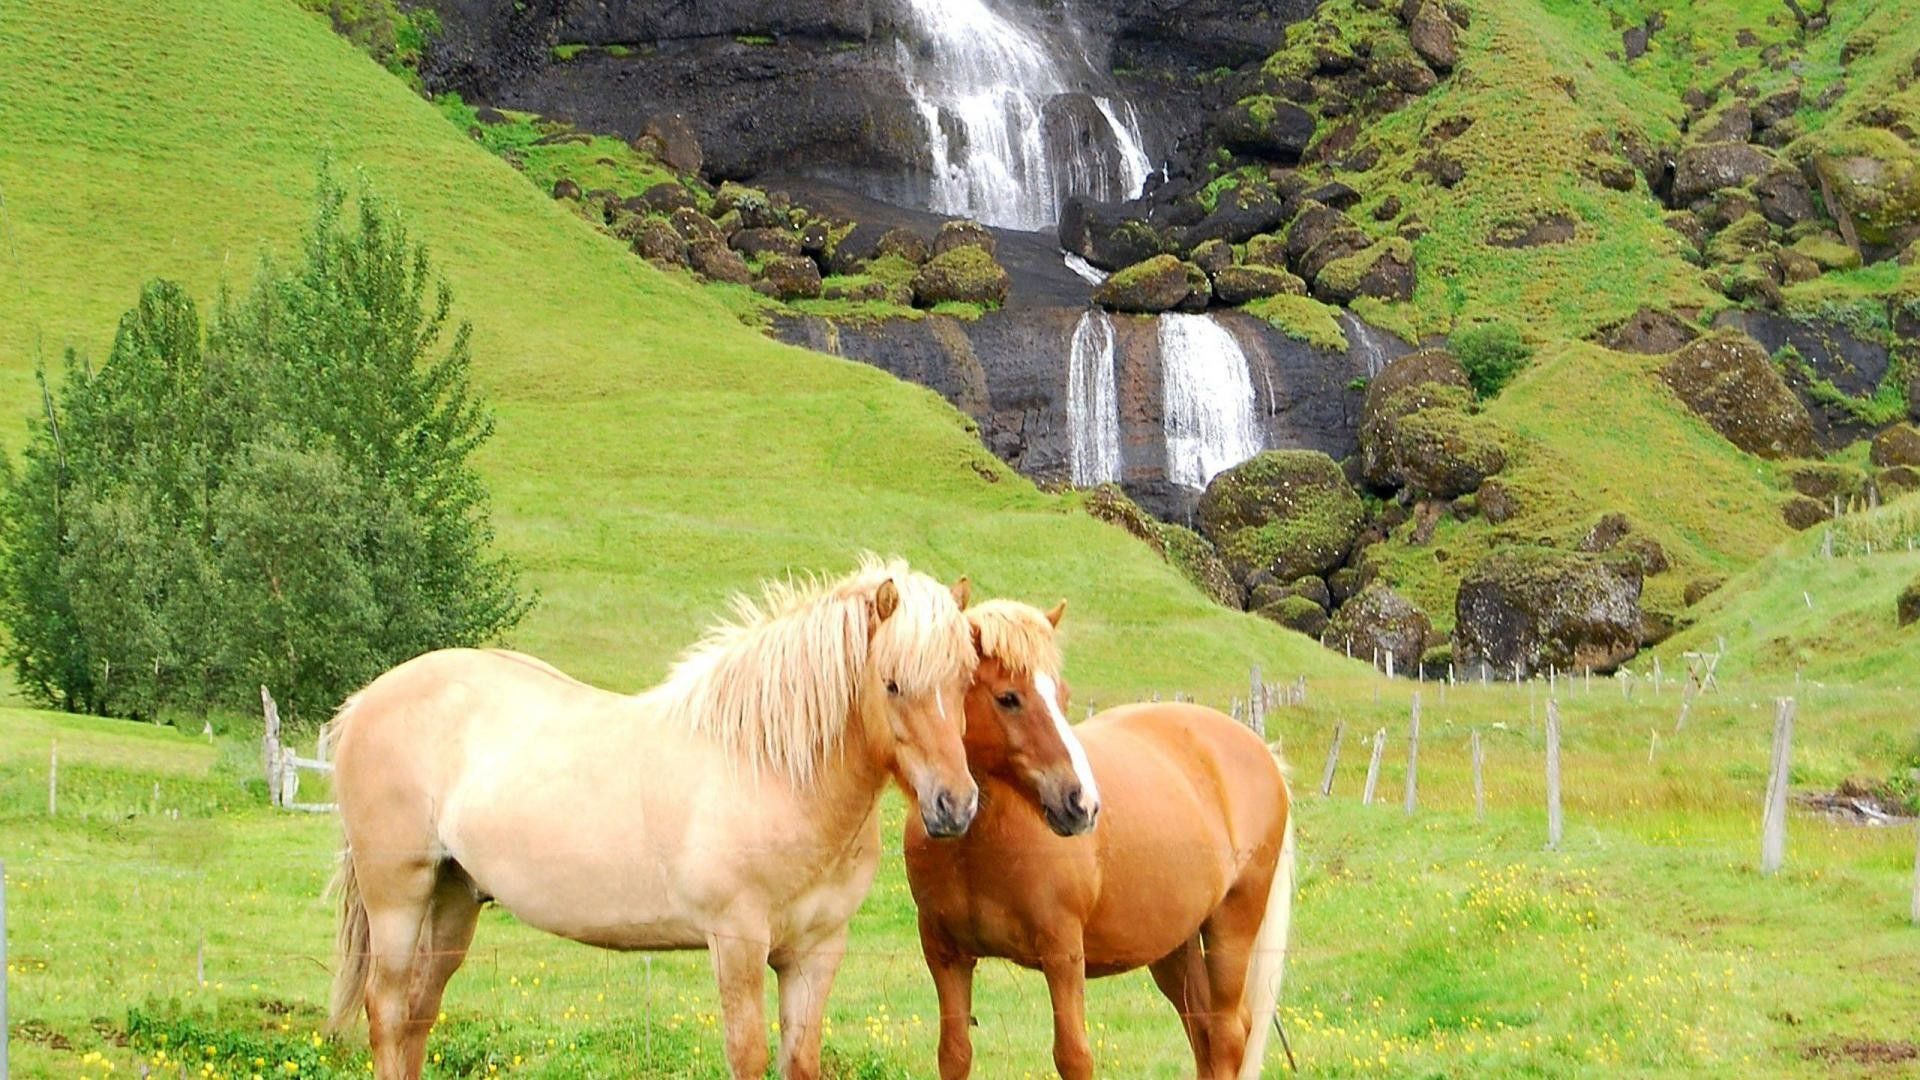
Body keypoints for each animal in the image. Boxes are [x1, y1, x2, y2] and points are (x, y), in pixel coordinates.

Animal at [326, 557, 981, 1080]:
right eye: (892, 684)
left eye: (965, 681)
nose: (955, 805)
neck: (769, 770)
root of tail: (365, 700)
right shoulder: (737, 943)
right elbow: (747, 1057)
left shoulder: (817, 953)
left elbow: (801, 1062)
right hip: (398, 896)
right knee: (388, 1013)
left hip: (454, 897)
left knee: (418, 1015)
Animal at [905, 599, 1296, 1080]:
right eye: (1008, 697)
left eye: (1063, 695)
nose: (1081, 803)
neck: (977, 847)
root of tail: (1262, 752)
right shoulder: (946, 956)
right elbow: (954, 1054)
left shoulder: (1062, 957)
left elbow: (1073, 1056)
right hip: (1175, 944)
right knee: (1202, 1029)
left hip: (1232, 925)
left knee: (1226, 1034)